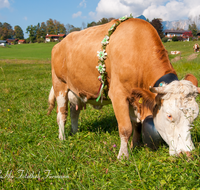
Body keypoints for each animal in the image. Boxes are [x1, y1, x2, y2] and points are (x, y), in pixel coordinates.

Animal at [47, 18, 199, 159]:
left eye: (195, 117)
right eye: (169, 115)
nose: (187, 153)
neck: (138, 49)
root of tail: (59, 43)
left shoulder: (135, 96)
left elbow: (137, 124)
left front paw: (135, 145)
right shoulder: (118, 94)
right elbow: (126, 128)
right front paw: (123, 156)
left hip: (75, 90)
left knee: (74, 112)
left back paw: (74, 132)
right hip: (59, 85)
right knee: (62, 115)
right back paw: (62, 138)